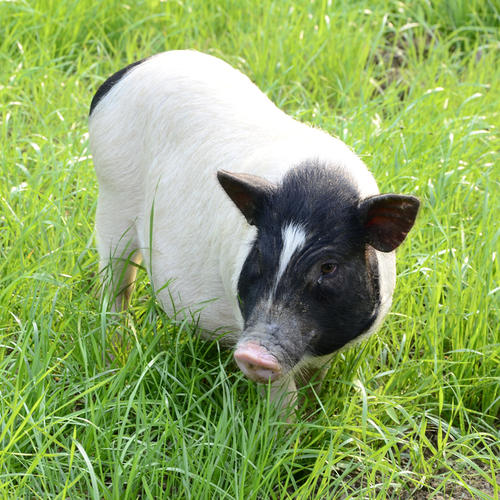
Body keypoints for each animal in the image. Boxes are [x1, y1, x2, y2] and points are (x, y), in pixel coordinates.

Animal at [88, 49, 420, 410]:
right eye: (260, 254)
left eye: (329, 267)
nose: (254, 353)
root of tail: (123, 74)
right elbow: (282, 396)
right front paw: (285, 425)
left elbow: (317, 379)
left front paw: (313, 412)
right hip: (113, 200)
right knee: (115, 286)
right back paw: (113, 355)